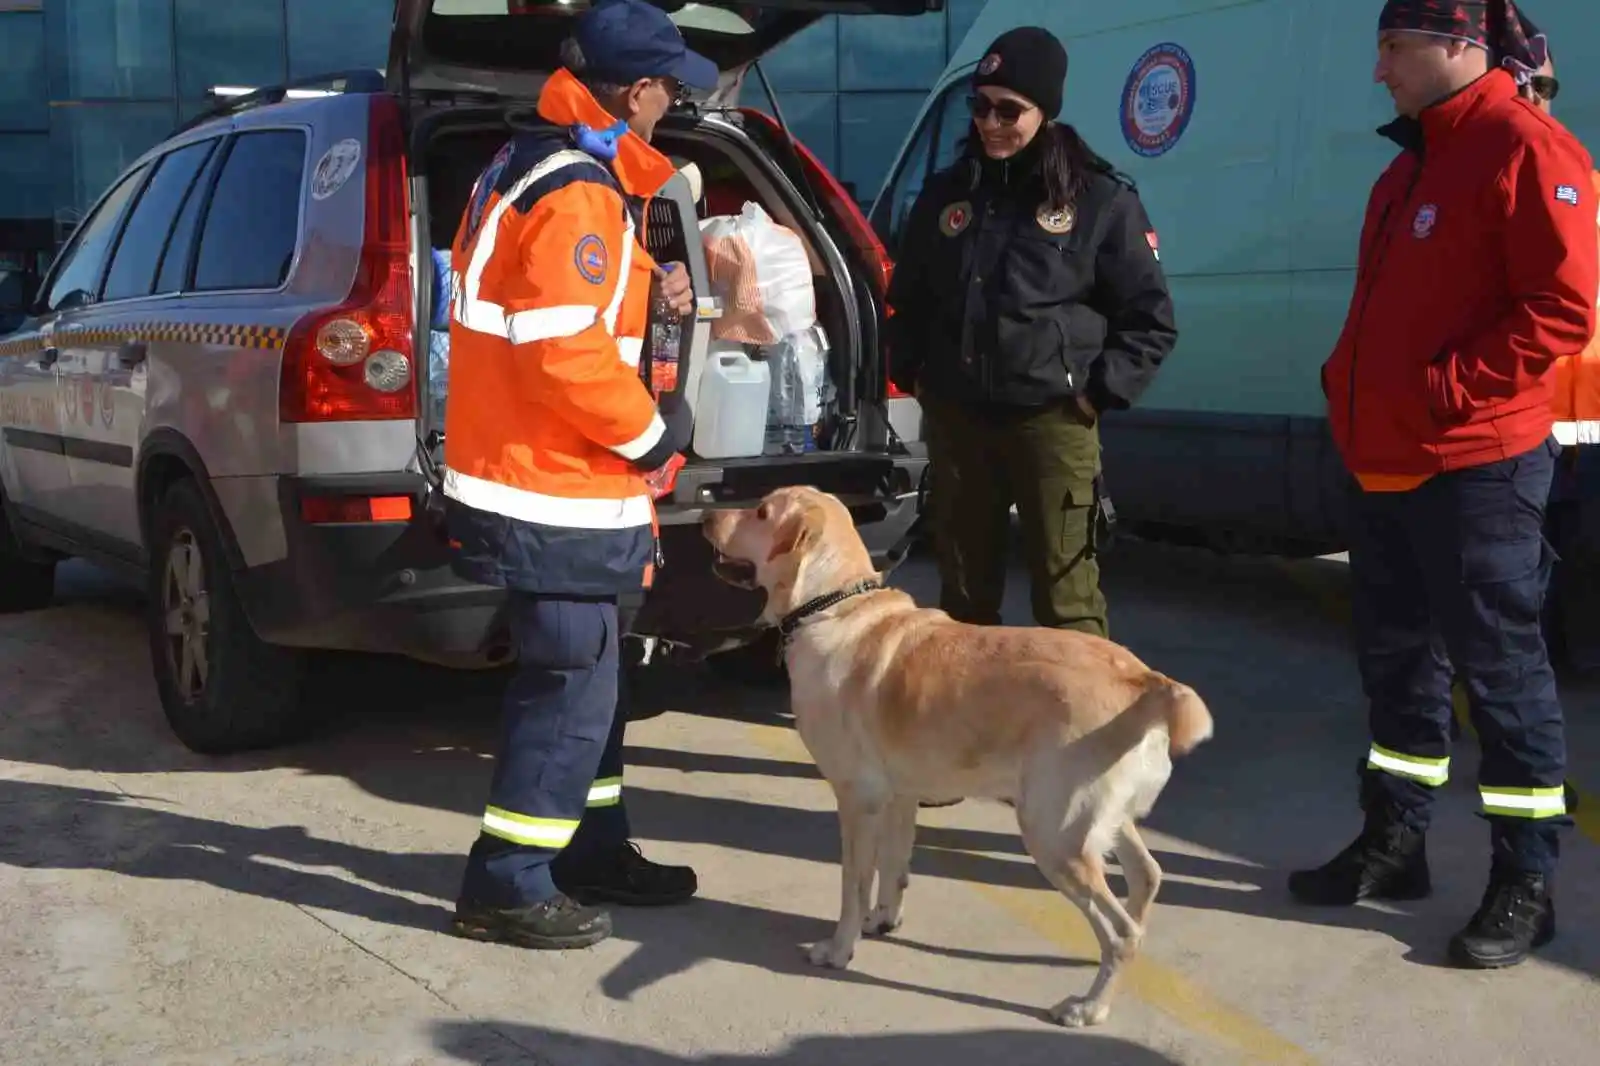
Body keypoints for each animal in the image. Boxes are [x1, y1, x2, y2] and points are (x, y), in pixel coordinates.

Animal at [700, 483, 1209, 1024]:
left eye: (761, 512)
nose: (707, 518)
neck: (833, 603)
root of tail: (1146, 682)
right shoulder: (900, 798)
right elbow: (894, 867)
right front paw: (884, 920)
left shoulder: (857, 801)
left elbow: (853, 885)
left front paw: (839, 949)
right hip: (1096, 822)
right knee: (1147, 877)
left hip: (1054, 835)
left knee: (1122, 932)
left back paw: (1090, 1006)